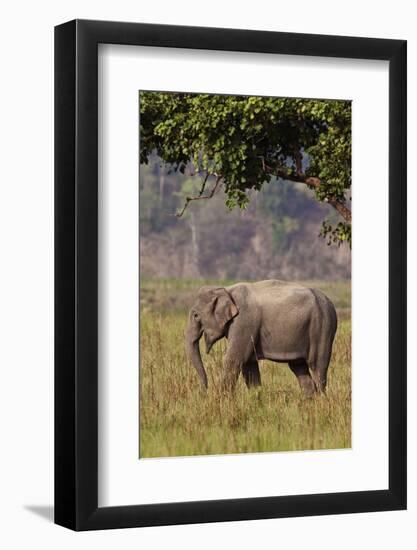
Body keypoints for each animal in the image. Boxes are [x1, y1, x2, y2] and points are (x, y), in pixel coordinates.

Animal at [184, 280, 336, 396]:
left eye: (196, 315)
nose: (204, 391)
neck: (226, 290)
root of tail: (329, 302)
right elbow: (249, 365)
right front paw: (255, 398)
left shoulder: (243, 322)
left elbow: (234, 359)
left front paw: (221, 399)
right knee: (299, 367)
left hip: (322, 327)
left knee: (317, 366)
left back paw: (320, 400)